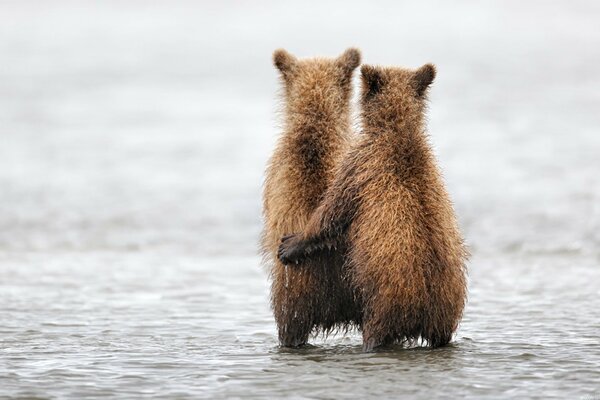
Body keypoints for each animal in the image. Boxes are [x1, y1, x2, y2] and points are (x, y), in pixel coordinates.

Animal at [278, 61, 468, 350]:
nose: (286, 246)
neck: (396, 130)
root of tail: (427, 305)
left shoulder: (359, 165)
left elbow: (333, 213)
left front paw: (290, 243)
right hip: (445, 312)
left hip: (385, 302)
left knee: (375, 332)